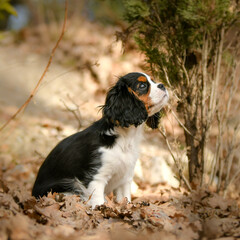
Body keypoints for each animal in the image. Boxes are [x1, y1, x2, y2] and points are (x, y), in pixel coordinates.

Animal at [32, 72, 169, 207]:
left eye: (154, 81)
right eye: (142, 85)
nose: (162, 85)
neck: (125, 137)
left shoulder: (125, 178)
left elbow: (125, 199)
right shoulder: (96, 177)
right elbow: (98, 202)